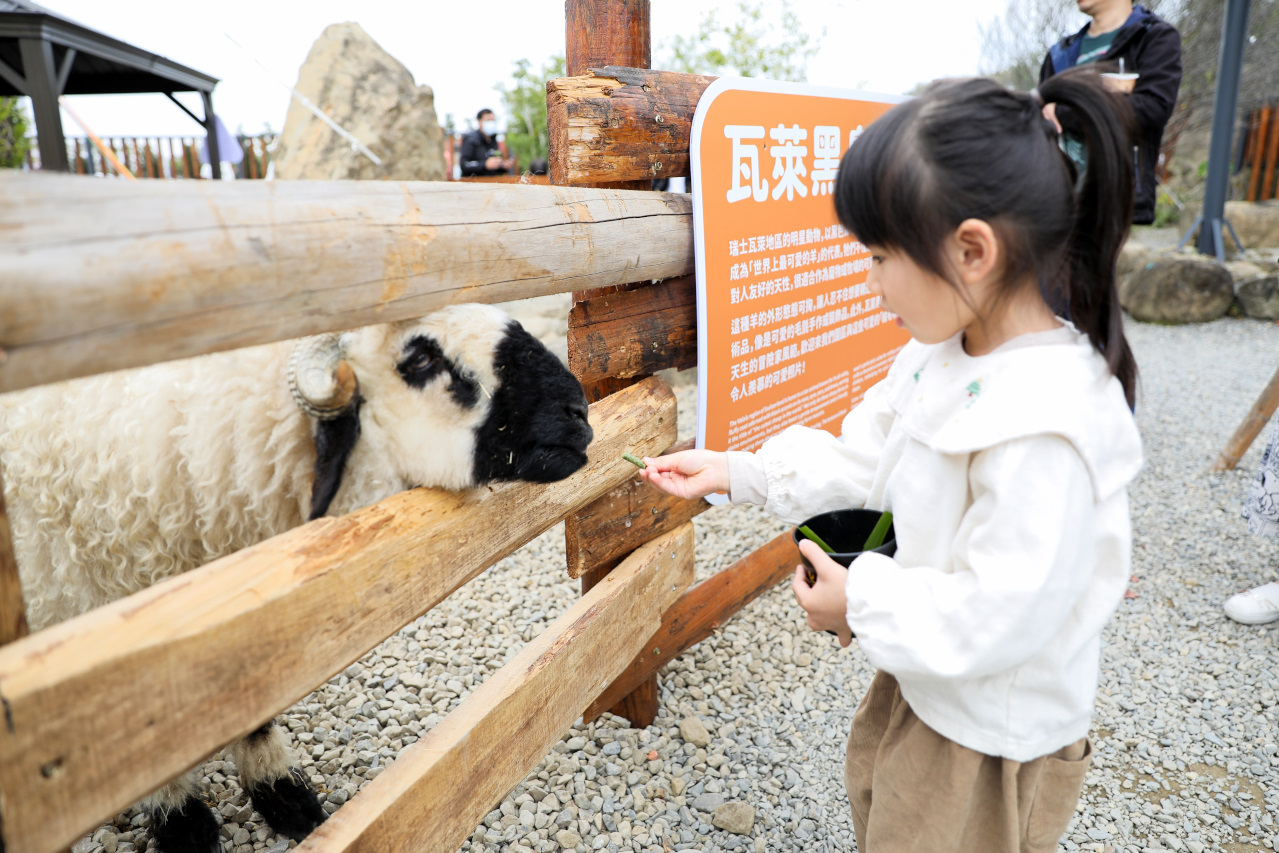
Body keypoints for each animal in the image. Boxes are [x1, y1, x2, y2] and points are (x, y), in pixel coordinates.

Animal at [1, 303, 593, 849]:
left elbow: (255, 712)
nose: (580, 411)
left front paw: (282, 796)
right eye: (422, 359)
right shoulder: (97, 632)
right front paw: (182, 824)